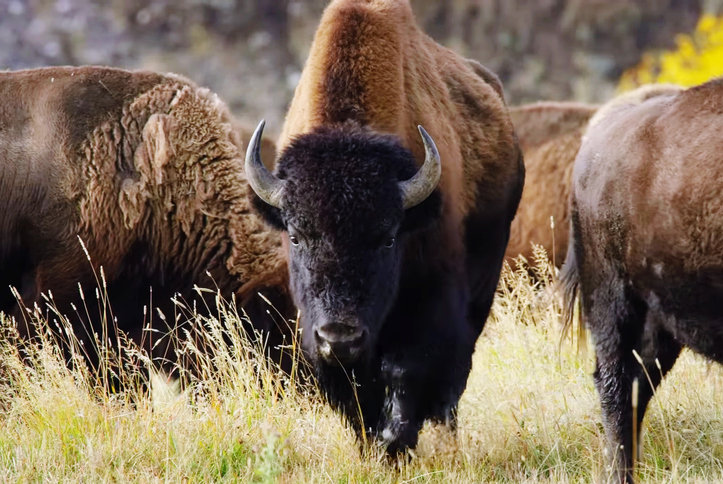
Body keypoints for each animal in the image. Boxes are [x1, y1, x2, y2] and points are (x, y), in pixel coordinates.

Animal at [246, 0, 524, 454]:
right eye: (297, 235)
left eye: (388, 237)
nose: (340, 337)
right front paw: (374, 443)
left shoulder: (431, 298)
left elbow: (408, 370)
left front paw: (395, 441)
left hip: (484, 282)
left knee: (457, 370)